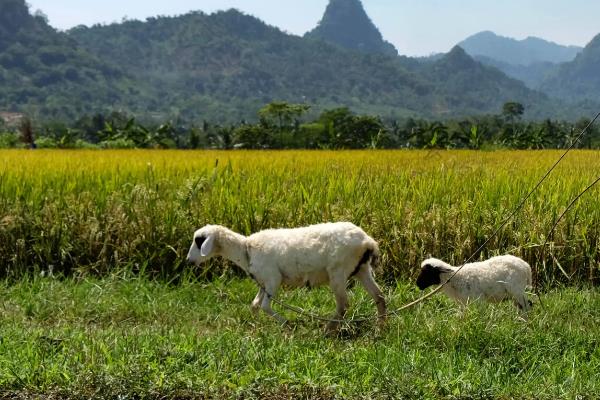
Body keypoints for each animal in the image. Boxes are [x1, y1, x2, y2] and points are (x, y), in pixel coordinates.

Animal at [185, 222, 386, 328]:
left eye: (198, 241)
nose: (188, 261)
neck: (246, 249)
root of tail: (367, 241)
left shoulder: (273, 279)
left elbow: (265, 306)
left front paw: (286, 323)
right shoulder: (263, 283)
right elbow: (255, 305)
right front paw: (256, 325)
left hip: (338, 271)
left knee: (343, 305)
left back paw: (329, 330)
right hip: (361, 269)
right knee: (379, 296)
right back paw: (381, 327)